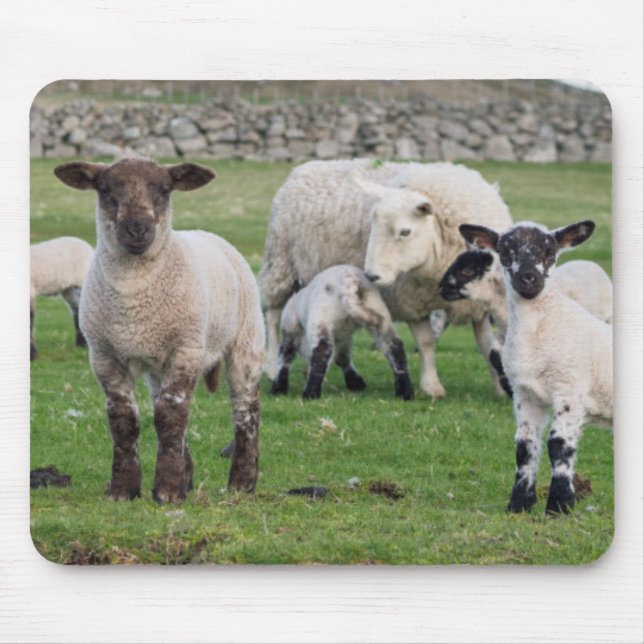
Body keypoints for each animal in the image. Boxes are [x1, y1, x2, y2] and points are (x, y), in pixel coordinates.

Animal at [53, 158, 265, 503]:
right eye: (105, 189)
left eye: (164, 189)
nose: (137, 228)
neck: (134, 297)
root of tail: (207, 234)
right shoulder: (104, 355)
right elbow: (125, 419)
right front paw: (124, 489)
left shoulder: (186, 348)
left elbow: (170, 416)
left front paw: (167, 491)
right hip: (158, 365)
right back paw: (188, 477)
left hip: (246, 340)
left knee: (245, 410)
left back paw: (242, 484)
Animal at [270, 264, 414, 400]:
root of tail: (349, 280)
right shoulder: (344, 337)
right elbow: (342, 357)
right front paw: (355, 382)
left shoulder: (289, 330)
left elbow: (284, 359)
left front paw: (278, 388)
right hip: (380, 314)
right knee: (395, 348)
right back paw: (405, 392)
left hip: (321, 319)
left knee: (321, 353)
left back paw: (310, 393)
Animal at [460, 220, 612, 515]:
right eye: (504, 251)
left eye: (550, 251)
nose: (529, 278)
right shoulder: (525, 394)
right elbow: (525, 446)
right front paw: (519, 503)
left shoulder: (569, 390)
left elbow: (558, 445)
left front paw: (560, 505)